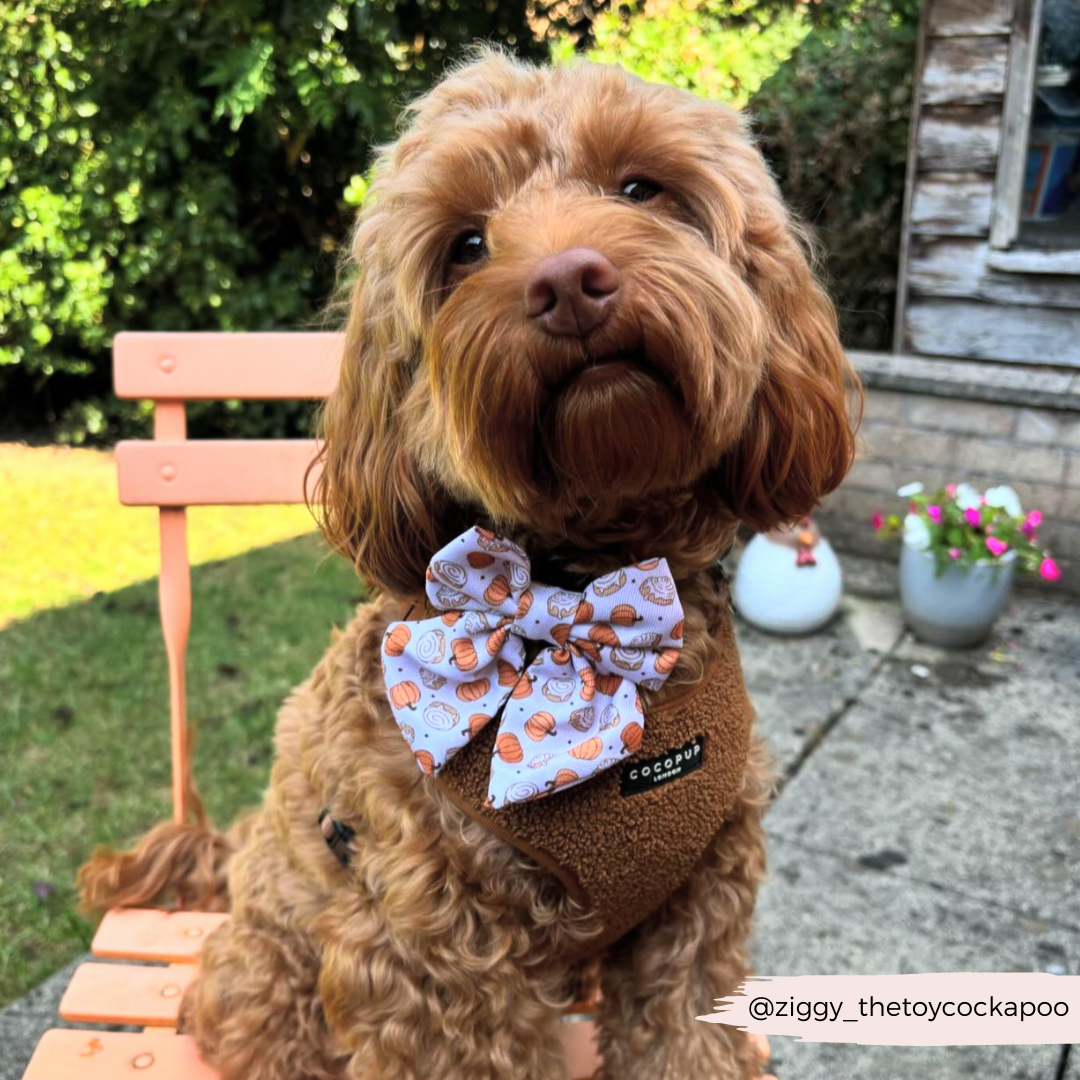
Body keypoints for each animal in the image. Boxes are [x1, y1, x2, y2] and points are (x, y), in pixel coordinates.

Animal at [79, 50, 859, 1080]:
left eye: (640, 188)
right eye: (467, 244)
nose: (569, 280)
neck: (578, 588)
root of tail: (235, 851)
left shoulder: (697, 909)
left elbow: (684, 1039)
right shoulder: (434, 962)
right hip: (273, 975)